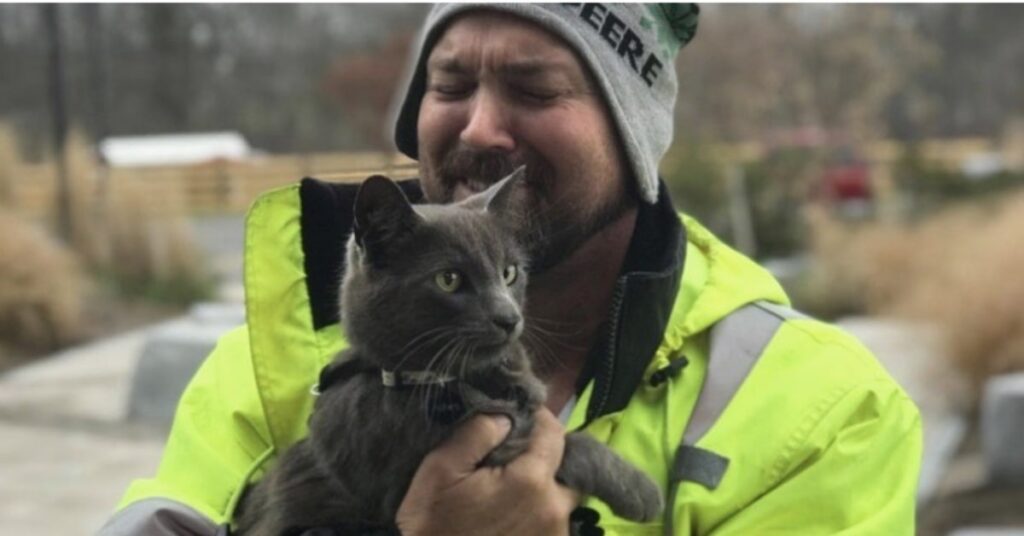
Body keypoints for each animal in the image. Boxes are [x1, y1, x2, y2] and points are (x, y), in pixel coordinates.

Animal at [234, 169, 659, 536]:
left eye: (509, 273)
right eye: (449, 280)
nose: (509, 317)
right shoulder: (412, 472)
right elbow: (566, 444)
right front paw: (643, 493)